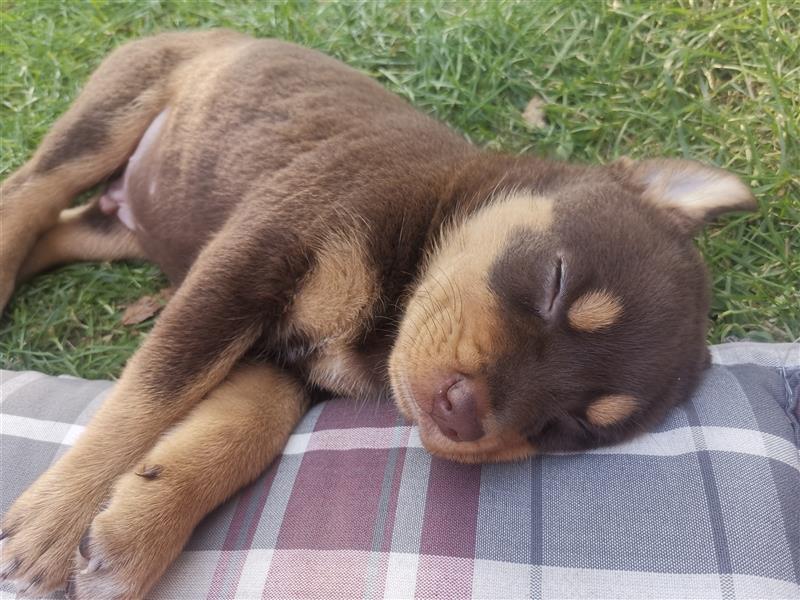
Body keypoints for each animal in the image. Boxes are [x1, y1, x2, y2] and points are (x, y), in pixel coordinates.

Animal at [0, 29, 752, 600]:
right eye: (554, 284)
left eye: (565, 429)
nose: (462, 414)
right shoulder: (246, 263)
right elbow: (149, 395)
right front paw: (52, 527)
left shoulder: (281, 367)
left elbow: (234, 438)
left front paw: (135, 533)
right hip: (113, 114)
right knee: (30, 189)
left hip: (121, 228)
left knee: (57, 227)